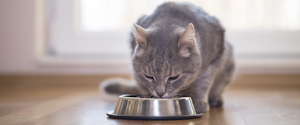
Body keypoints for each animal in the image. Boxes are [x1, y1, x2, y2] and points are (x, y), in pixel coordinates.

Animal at [102, 2, 236, 113]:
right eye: (149, 77)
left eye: (174, 77)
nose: (160, 93)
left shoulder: (213, 60)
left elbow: (203, 83)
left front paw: (198, 102)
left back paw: (215, 99)